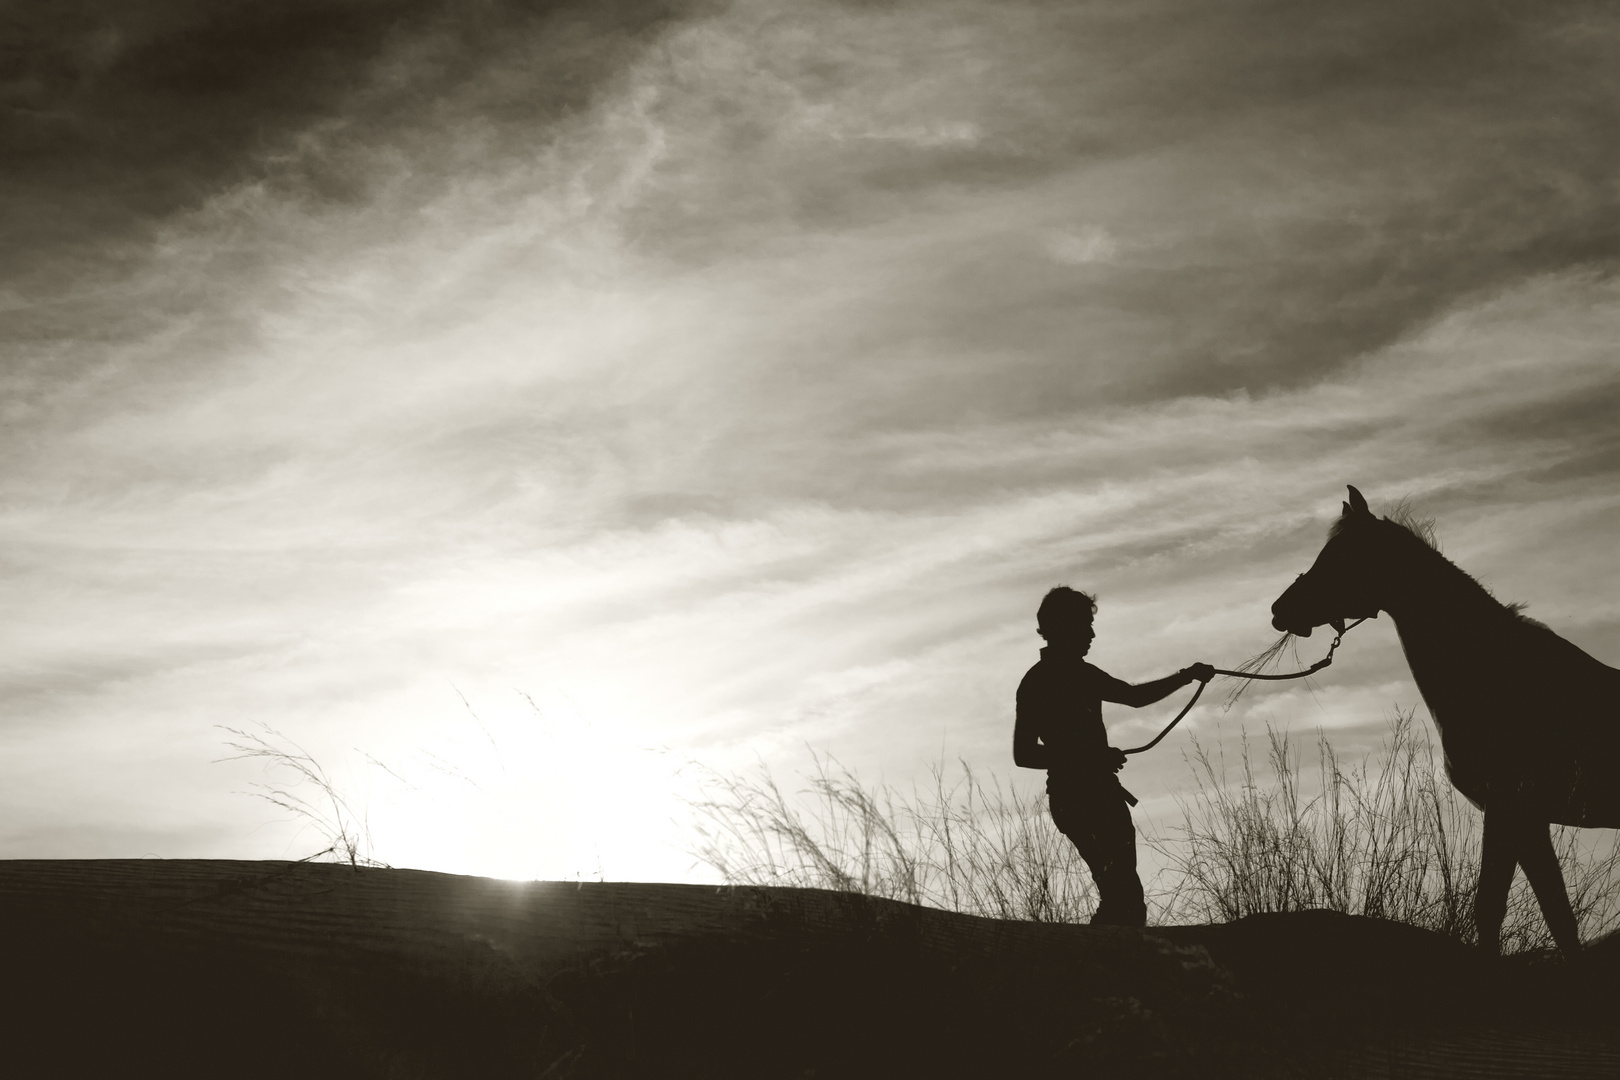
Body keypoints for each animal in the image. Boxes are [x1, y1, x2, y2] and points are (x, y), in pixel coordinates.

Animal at [1270, 488, 1613, 952]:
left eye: (1341, 557)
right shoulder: (1525, 818)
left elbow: (1497, 910)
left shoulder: (1509, 810)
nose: (1280, 609)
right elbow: (1554, 916)